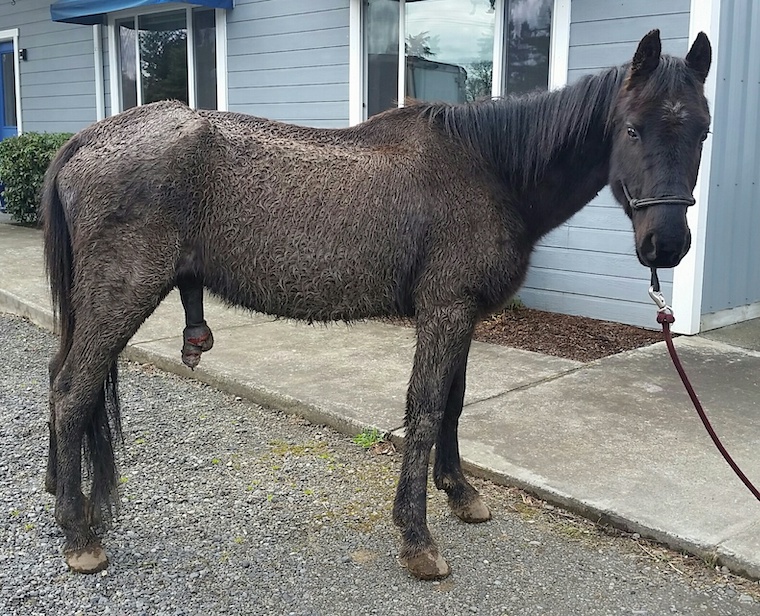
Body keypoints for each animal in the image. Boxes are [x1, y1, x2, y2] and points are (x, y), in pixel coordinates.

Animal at [41, 29, 711, 580]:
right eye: (632, 128)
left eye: (702, 130)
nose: (667, 244)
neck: (489, 169)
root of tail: (87, 139)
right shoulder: (445, 310)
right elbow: (425, 409)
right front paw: (417, 539)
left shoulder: (462, 314)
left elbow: (453, 403)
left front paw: (459, 493)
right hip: (121, 297)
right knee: (74, 391)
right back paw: (79, 535)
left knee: (58, 378)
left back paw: (59, 491)